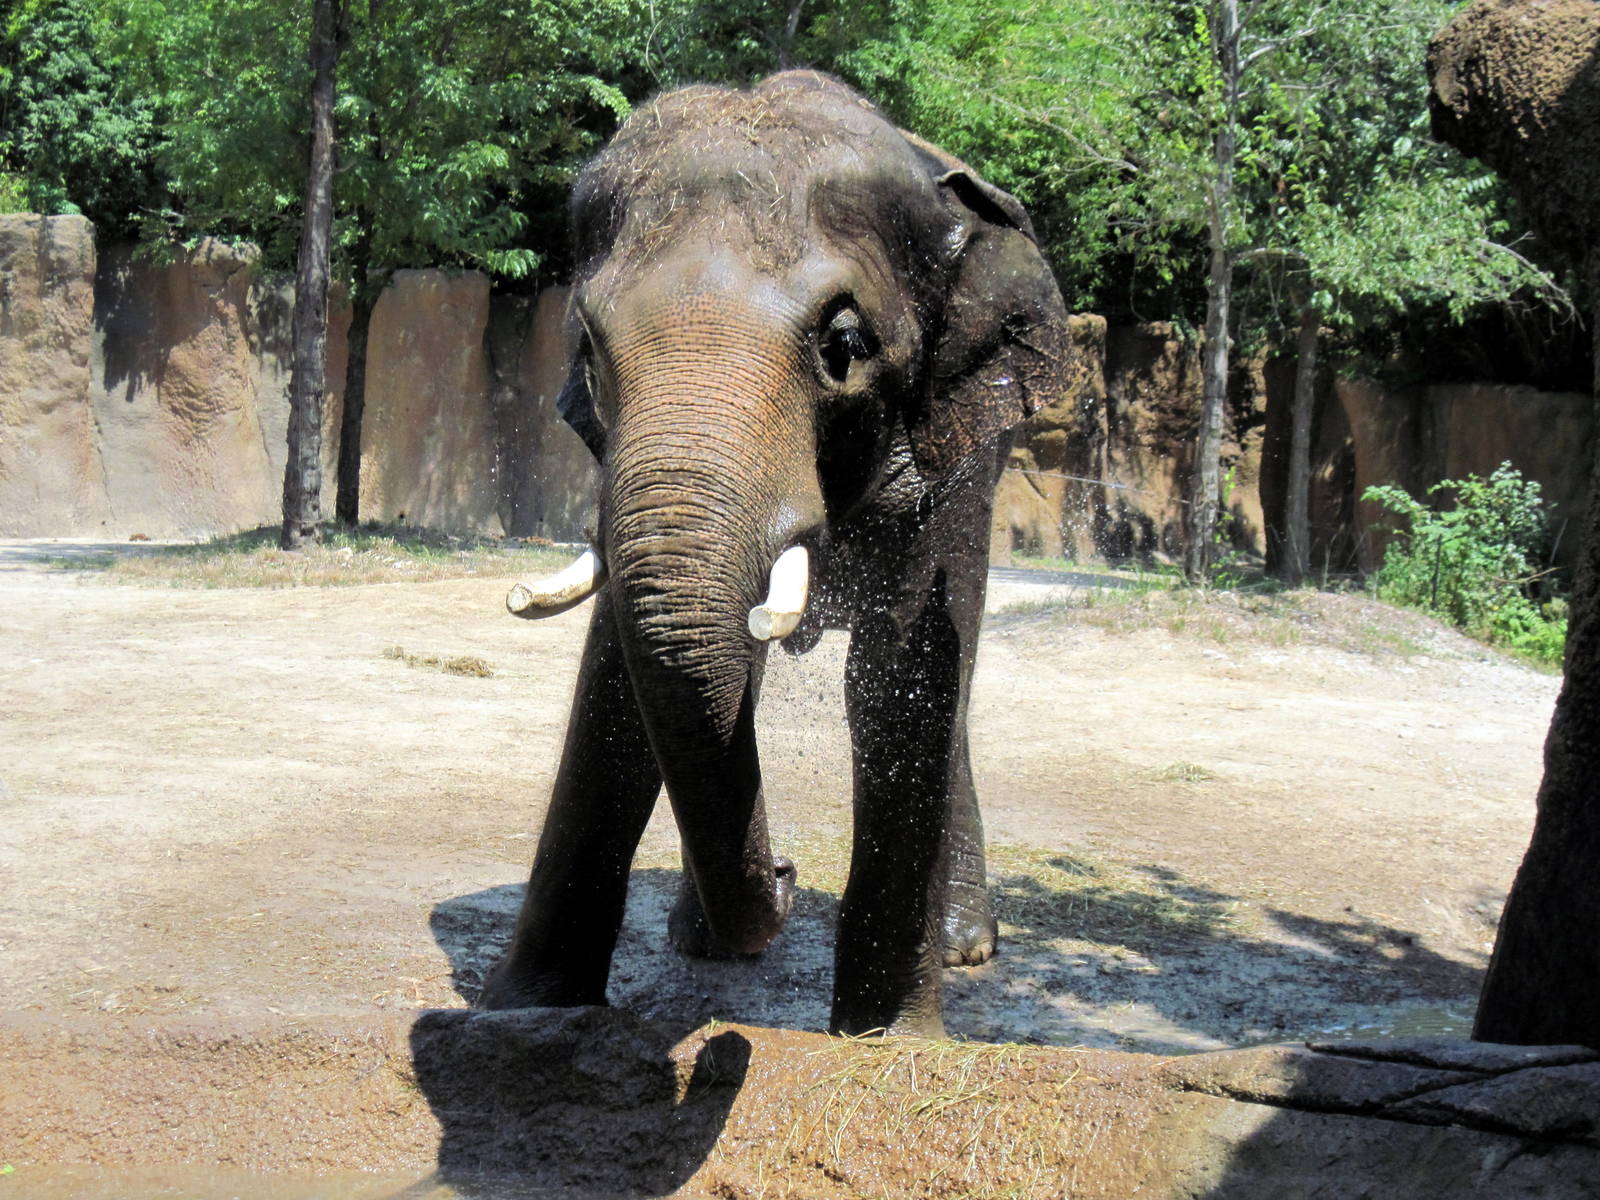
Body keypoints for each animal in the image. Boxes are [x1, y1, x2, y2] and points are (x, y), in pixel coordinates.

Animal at [478, 70, 1072, 1037]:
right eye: (589, 350)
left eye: (844, 346)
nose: (790, 880)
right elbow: (618, 674)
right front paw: (524, 1011)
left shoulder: (945, 453)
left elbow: (902, 671)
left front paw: (884, 1040)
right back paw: (703, 938)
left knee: (952, 677)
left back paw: (963, 947)